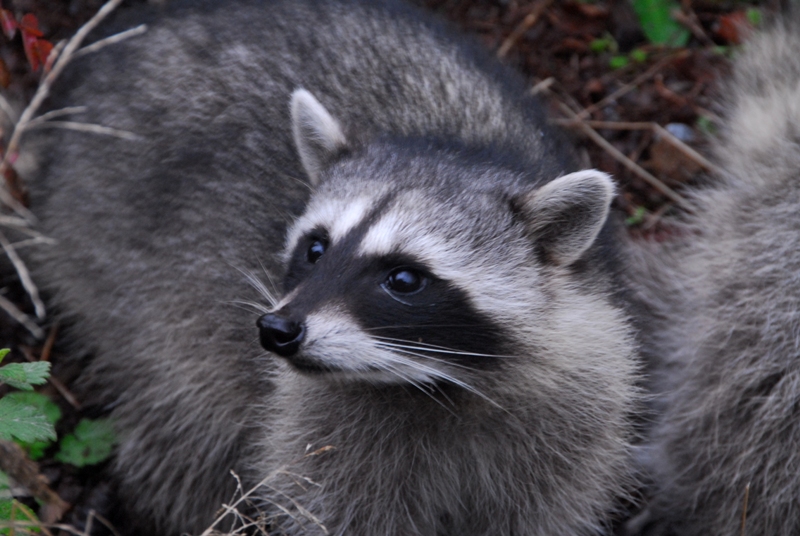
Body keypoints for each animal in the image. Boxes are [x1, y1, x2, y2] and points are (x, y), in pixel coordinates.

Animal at [15, 0, 640, 532]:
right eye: (316, 249)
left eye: (404, 279)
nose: (277, 329)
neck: (440, 384)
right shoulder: (319, 433)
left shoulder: (573, 411)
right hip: (115, 259)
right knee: (186, 411)